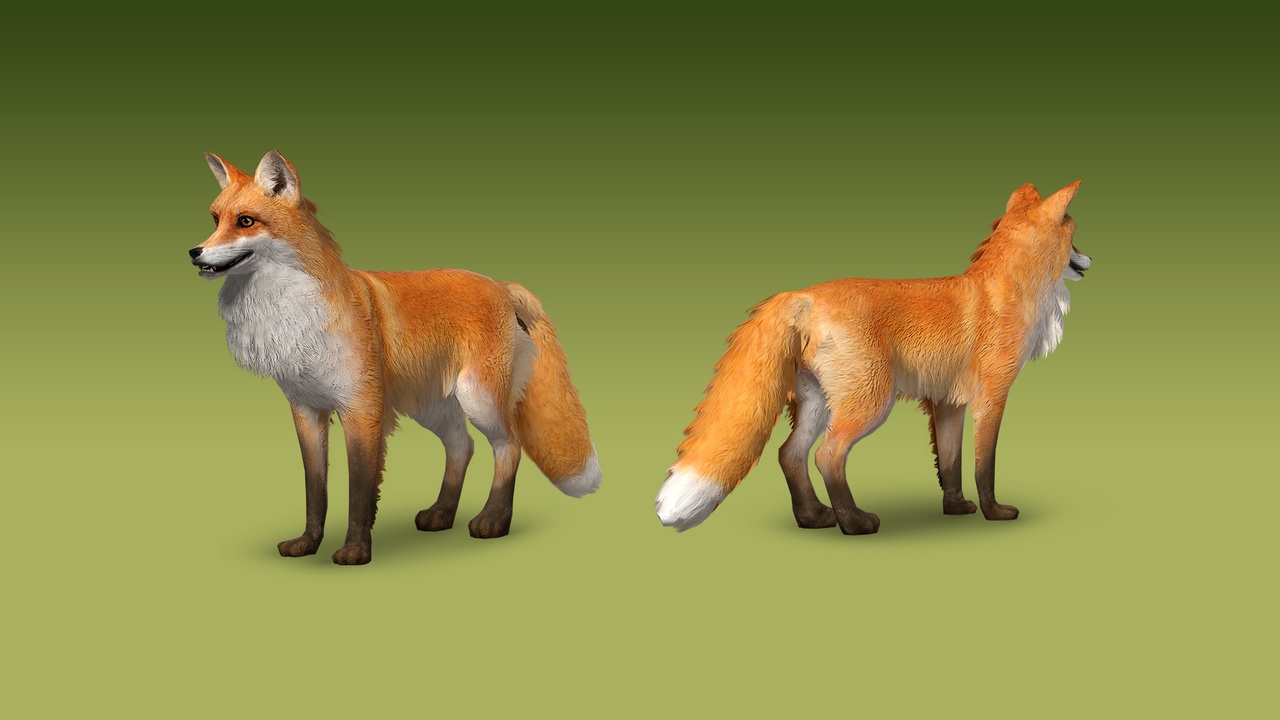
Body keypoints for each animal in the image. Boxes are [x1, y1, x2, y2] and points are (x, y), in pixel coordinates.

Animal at [189, 150, 601, 565]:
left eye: (245, 221)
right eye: (215, 219)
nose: (194, 253)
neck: (295, 313)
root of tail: (500, 284)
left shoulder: (362, 407)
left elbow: (359, 490)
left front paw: (355, 551)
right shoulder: (306, 409)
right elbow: (315, 489)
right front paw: (308, 542)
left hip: (478, 400)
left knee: (509, 448)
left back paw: (494, 520)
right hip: (433, 407)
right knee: (462, 447)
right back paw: (442, 513)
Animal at [655, 181, 1091, 534]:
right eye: (1075, 239)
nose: (1090, 260)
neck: (1009, 290)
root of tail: (801, 294)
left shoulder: (948, 403)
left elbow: (950, 465)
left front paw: (955, 509)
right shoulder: (991, 399)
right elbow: (985, 467)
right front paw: (993, 512)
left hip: (820, 404)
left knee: (789, 454)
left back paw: (813, 518)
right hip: (870, 402)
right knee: (827, 456)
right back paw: (853, 522)